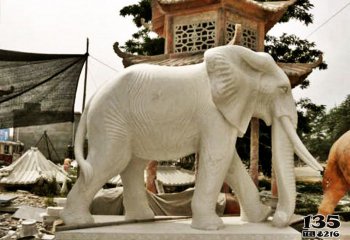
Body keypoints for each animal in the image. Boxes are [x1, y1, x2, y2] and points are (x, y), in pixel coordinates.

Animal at [60, 45, 322, 231]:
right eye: (283, 89)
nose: (277, 219)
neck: (243, 60)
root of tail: (92, 98)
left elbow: (229, 161)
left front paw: (259, 217)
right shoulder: (214, 112)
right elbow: (219, 156)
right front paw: (213, 227)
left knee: (133, 165)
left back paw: (142, 220)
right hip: (111, 121)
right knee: (109, 162)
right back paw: (80, 223)